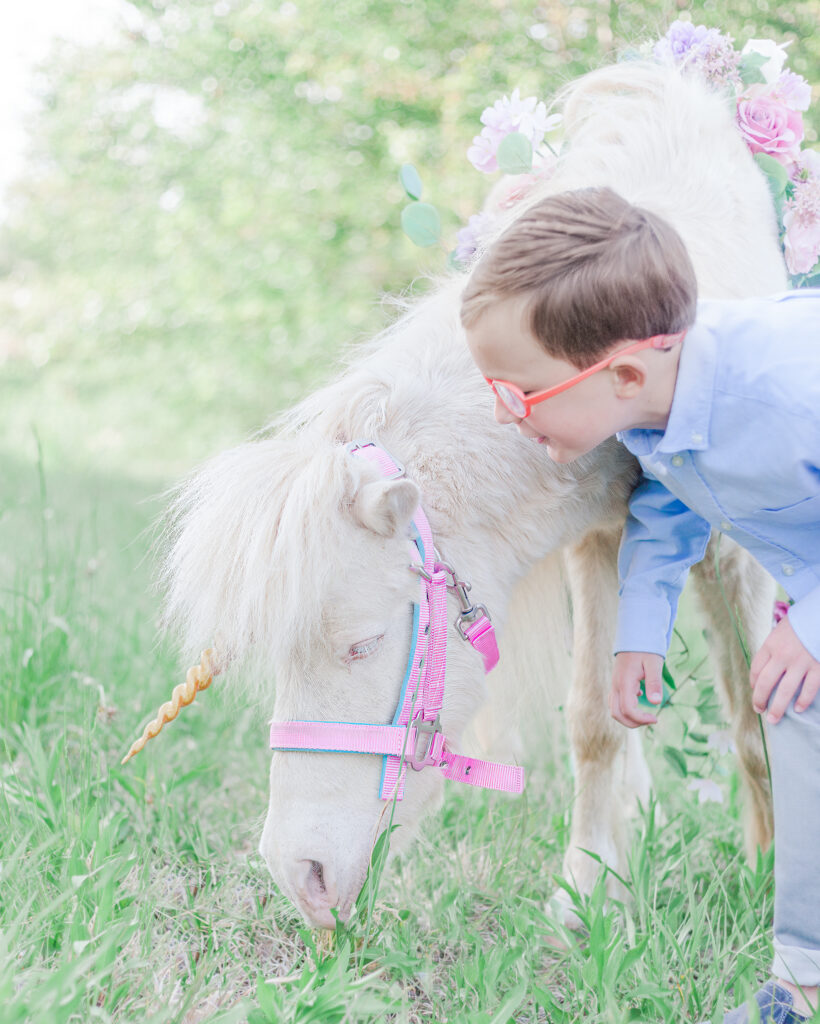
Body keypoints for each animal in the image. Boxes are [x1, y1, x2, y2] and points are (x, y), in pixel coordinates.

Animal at [156, 61, 782, 929]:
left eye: (364, 644)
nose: (299, 877)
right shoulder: (600, 537)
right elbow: (596, 722)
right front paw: (588, 896)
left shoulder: (725, 544)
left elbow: (756, 718)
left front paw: (768, 877)